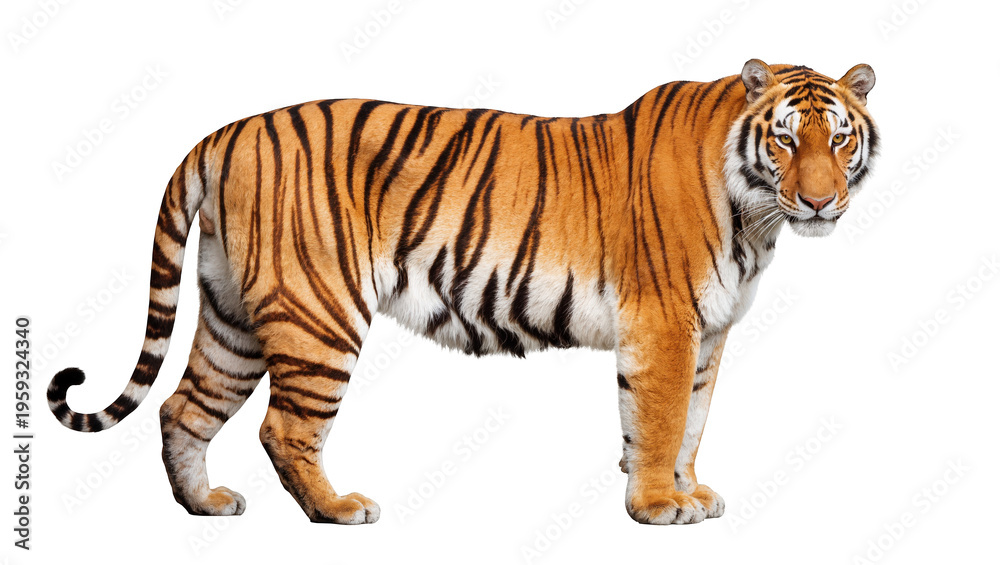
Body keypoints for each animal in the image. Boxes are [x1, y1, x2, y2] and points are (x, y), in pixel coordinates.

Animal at [48, 59, 878, 525]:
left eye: (838, 138)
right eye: (785, 139)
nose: (818, 202)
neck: (756, 218)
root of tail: (225, 133)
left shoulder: (708, 333)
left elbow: (693, 422)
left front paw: (689, 491)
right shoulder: (666, 325)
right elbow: (661, 419)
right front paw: (656, 506)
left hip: (234, 315)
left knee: (183, 406)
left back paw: (206, 505)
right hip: (318, 311)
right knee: (282, 428)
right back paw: (337, 509)